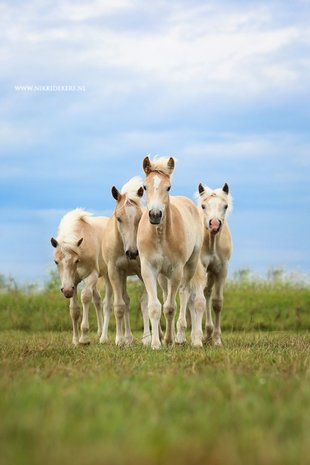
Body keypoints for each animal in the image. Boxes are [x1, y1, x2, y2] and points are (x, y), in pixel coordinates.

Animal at [49, 209, 110, 344]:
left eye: (76, 260)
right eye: (56, 262)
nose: (66, 291)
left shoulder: (91, 275)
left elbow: (86, 297)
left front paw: (84, 338)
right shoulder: (73, 283)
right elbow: (74, 310)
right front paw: (75, 340)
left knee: (108, 303)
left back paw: (106, 337)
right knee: (97, 301)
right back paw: (100, 333)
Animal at [101, 176, 151, 346]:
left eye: (139, 218)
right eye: (119, 218)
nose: (133, 252)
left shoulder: (143, 271)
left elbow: (145, 302)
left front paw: (148, 339)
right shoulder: (115, 272)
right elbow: (119, 305)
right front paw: (120, 340)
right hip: (115, 277)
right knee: (114, 303)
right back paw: (112, 338)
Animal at [137, 156, 203, 348]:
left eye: (168, 187)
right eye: (145, 187)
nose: (155, 215)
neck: (160, 236)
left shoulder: (176, 271)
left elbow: (170, 307)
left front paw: (168, 339)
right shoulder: (149, 269)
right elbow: (155, 307)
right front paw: (156, 344)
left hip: (189, 266)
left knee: (183, 293)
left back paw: (179, 337)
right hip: (162, 276)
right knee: (167, 294)